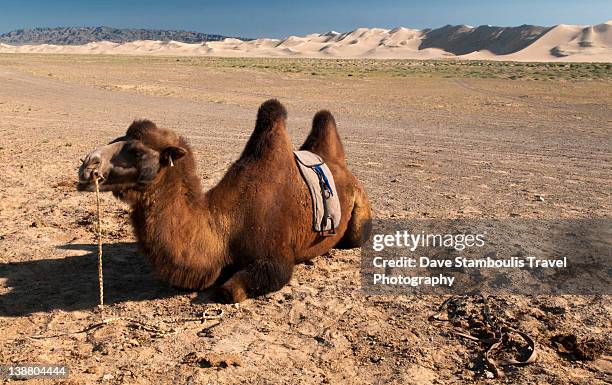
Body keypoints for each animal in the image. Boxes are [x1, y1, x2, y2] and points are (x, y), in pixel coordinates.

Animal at [78, 100, 370, 304]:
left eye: (137, 151)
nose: (87, 165)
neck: (226, 228)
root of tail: (341, 166)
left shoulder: (275, 259)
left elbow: (229, 292)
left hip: (359, 213)